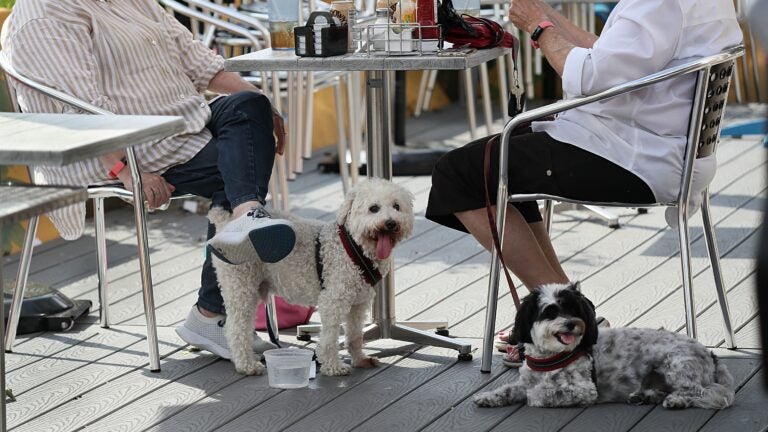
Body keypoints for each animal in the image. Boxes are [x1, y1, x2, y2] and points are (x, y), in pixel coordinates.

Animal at [208, 177, 414, 376]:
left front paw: (359, 359)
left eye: (397, 206)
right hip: (241, 287)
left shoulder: (358, 303)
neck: (355, 248)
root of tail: (225, 222)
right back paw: (247, 365)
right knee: (236, 329)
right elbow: (330, 337)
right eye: (373, 208)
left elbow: (355, 334)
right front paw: (333, 366)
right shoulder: (333, 300)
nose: (390, 223)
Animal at [474, 284, 732, 408]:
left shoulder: (583, 390)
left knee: (698, 392)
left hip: (675, 365)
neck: (551, 357)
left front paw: (533, 397)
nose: (571, 323)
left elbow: (540, 394)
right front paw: (488, 397)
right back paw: (644, 396)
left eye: (575, 310)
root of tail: (710, 353)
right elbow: (508, 389)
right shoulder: (526, 381)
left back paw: (676, 400)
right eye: (550, 311)